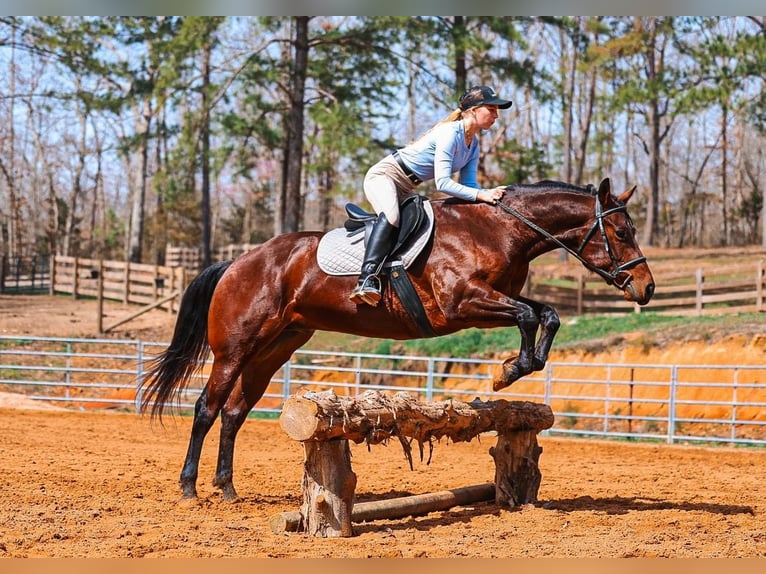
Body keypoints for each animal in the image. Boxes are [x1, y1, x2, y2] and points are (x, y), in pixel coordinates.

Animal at [139, 177, 655, 500]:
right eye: (621, 231)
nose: (646, 288)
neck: (499, 230)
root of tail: (239, 262)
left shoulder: (489, 302)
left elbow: (546, 314)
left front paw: (514, 370)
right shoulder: (463, 305)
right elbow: (531, 314)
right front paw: (508, 371)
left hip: (275, 348)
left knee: (234, 412)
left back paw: (226, 487)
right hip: (235, 348)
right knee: (207, 408)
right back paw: (189, 486)